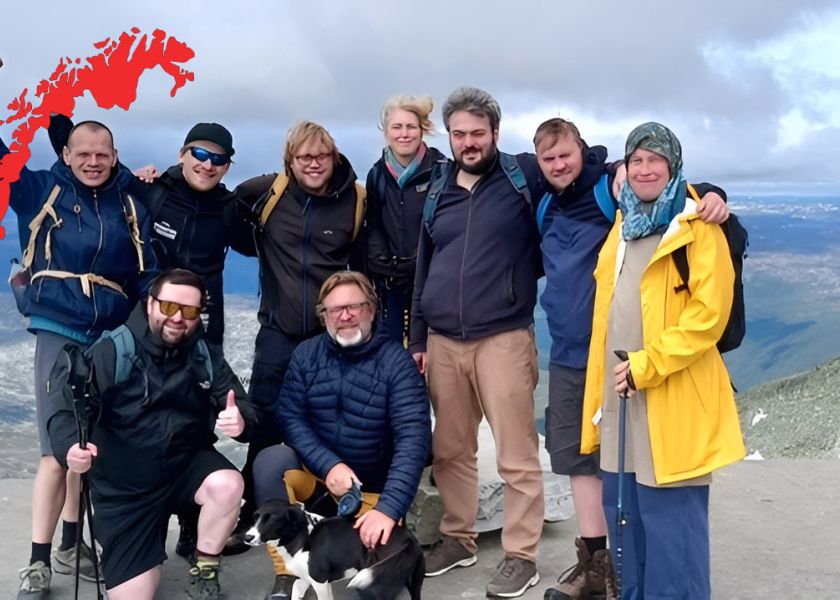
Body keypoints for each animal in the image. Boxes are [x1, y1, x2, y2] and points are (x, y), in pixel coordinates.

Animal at [245, 499, 424, 600]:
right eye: (254, 517)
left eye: (271, 520)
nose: (247, 537)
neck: (302, 535)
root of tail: (408, 539)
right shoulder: (308, 578)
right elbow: (296, 586)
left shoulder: (320, 582)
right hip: (415, 581)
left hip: (376, 585)